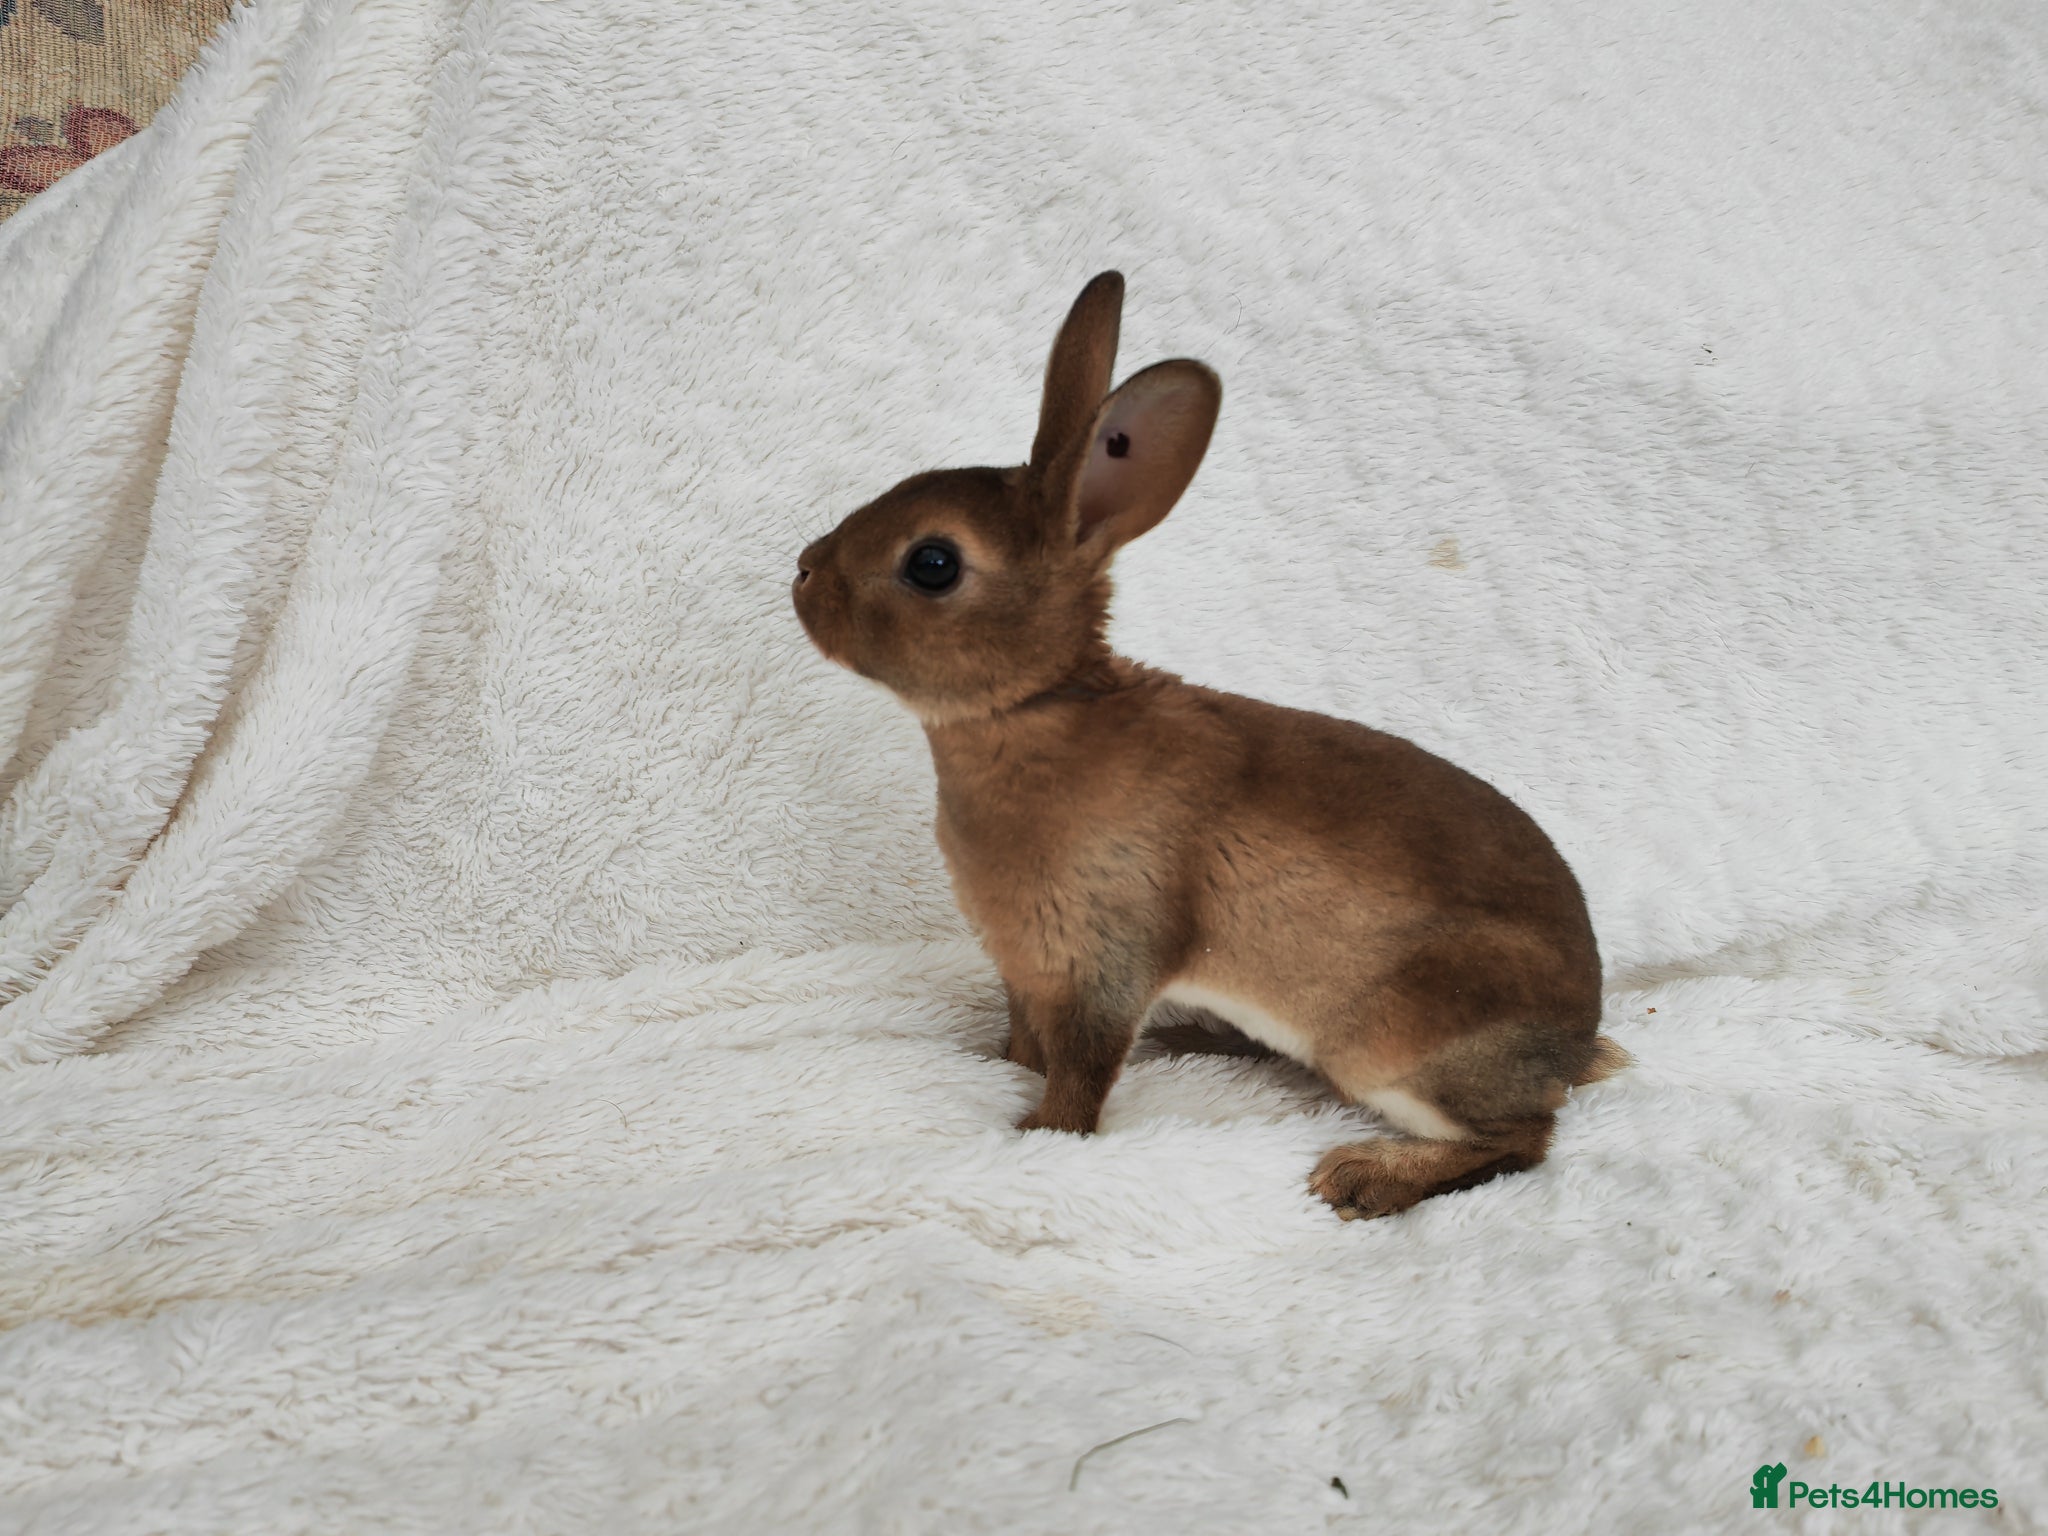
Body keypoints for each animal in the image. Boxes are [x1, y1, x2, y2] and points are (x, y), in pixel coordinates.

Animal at [792, 271, 1625, 1219]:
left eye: (931, 564)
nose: (803, 573)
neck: (1032, 709)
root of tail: (1577, 1043)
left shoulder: (1102, 964)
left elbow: (1081, 1072)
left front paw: (1038, 1133)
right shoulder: (1027, 969)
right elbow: (1025, 1040)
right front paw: (1001, 1072)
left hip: (1397, 1043)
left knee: (1522, 1140)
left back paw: (1364, 1179)